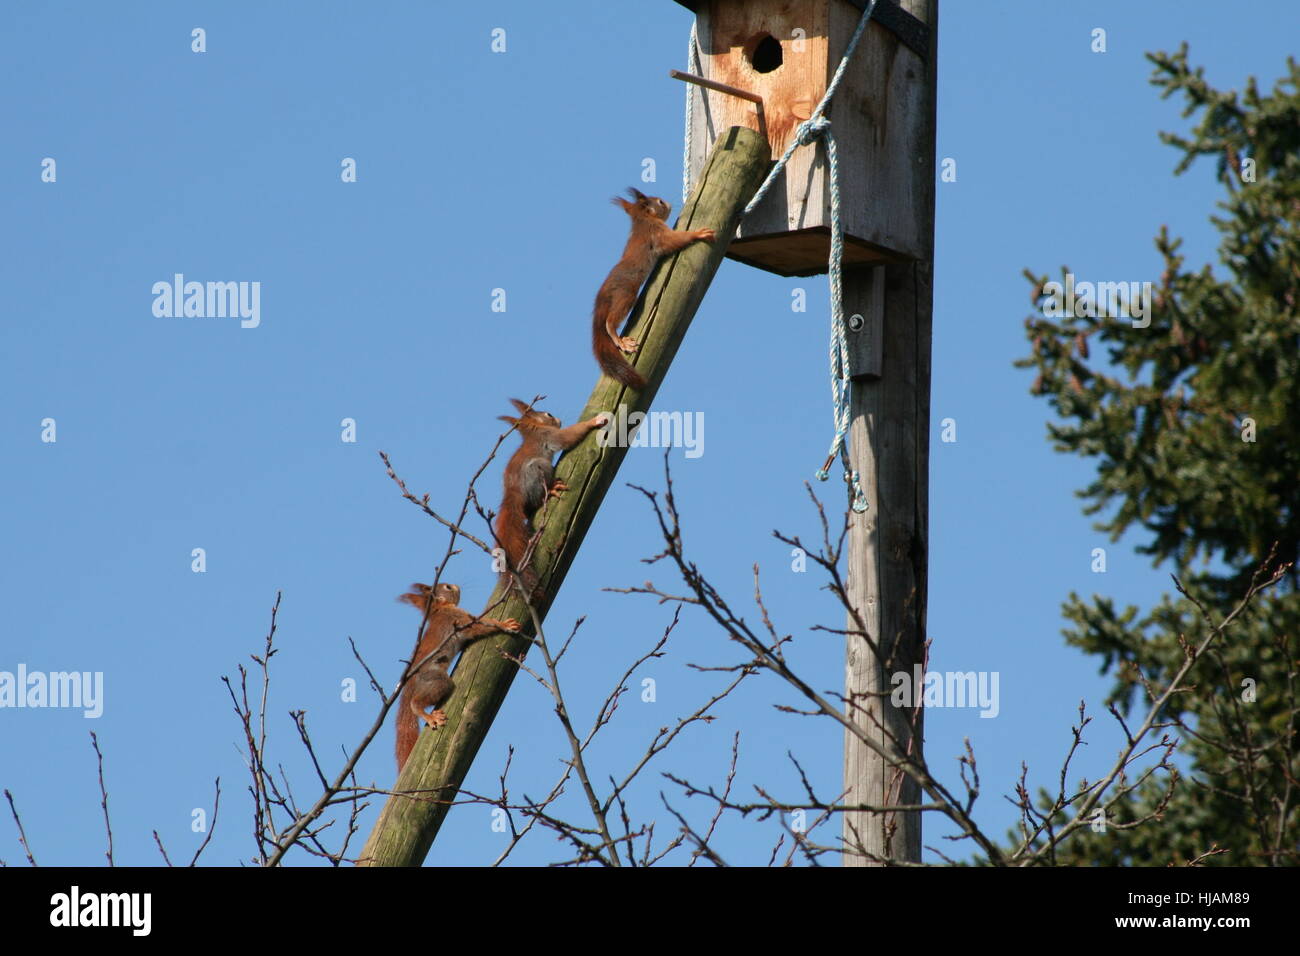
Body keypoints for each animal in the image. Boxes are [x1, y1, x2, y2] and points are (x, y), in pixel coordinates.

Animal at [394, 582, 520, 771]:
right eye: (447, 587)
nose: (457, 586)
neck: (442, 609)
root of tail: (409, 680)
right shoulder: (459, 620)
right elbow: (480, 626)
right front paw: (504, 624)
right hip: (436, 679)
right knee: (416, 702)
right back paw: (429, 716)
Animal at [493, 398, 609, 592]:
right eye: (549, 414)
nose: (559, 420)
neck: (534, 430)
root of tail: (512, 493)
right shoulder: (549, 436)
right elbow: (568, 437)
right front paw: (594, 421)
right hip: (539, 469)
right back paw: (551, 490)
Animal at [592, 188, 715, 389]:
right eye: (660, 202)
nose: (670, 204)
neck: (642, 219)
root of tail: (603, 295)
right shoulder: (657, 232)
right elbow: (673, 240)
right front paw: (699, 233)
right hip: (625, 294)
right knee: (610, 322)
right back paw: (620, 340)